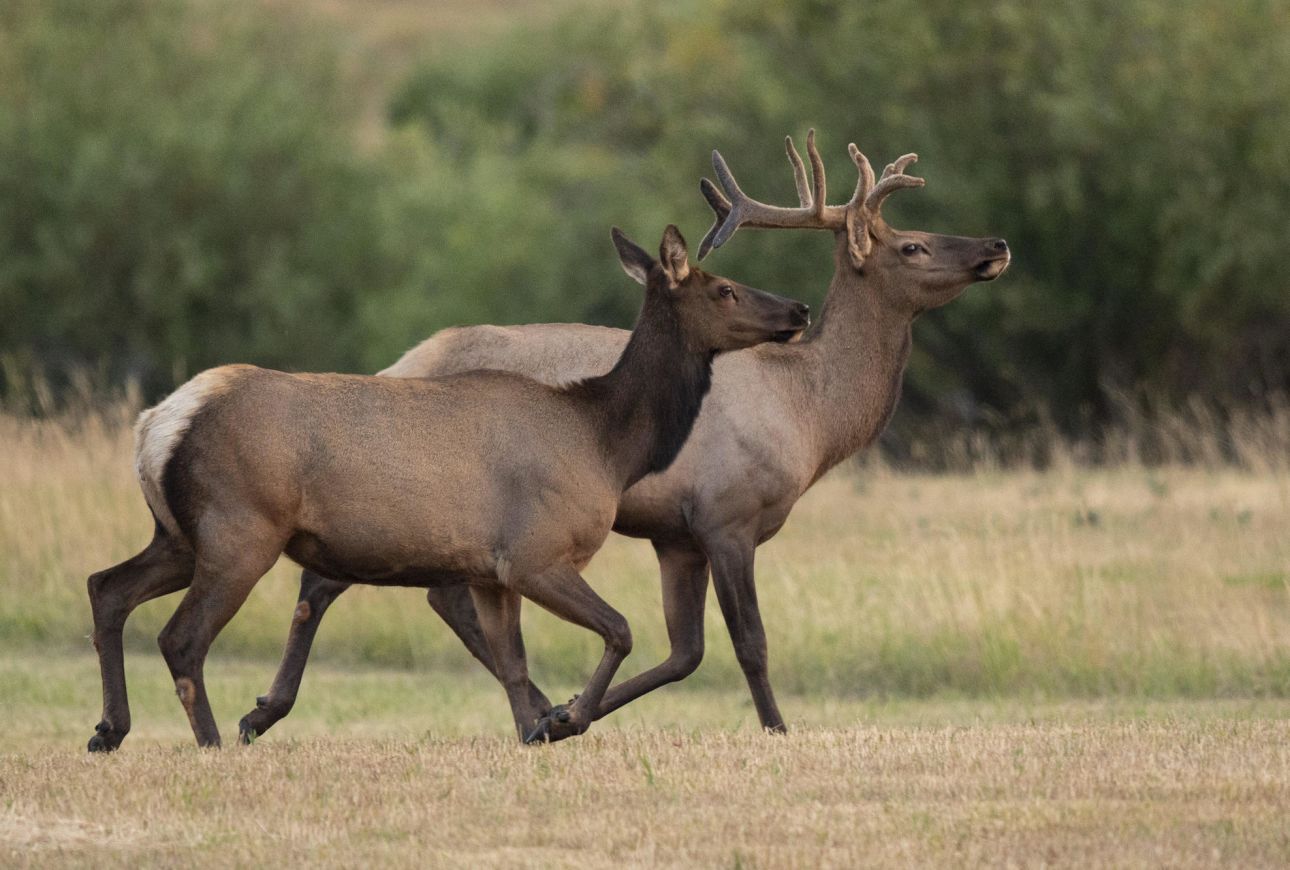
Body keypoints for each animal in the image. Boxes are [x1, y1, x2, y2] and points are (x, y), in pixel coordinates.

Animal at [83, 227, 804, 748]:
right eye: (724, 289)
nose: (795, 307)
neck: (605, 442)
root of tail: (157, 423)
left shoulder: (490, 571)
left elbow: (513, 664)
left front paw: (536, 729)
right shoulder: (535, 552)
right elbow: (621, 631)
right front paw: (566, 719)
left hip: (180, 535)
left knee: (106, 586)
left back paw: (109, 730)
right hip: (240, 530)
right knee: (181, 637)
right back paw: (209, 740)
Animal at [239, 129, 1006, 738]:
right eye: (913, 244)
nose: (995, 243)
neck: (810, 416)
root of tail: (399, 362)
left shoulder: (676, 535)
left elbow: (685, 652)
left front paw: (574, 711)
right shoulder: (726, 514)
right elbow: (749, 644)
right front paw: (777, 729)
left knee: (429, 591)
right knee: (348, 582)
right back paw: (270, 710)